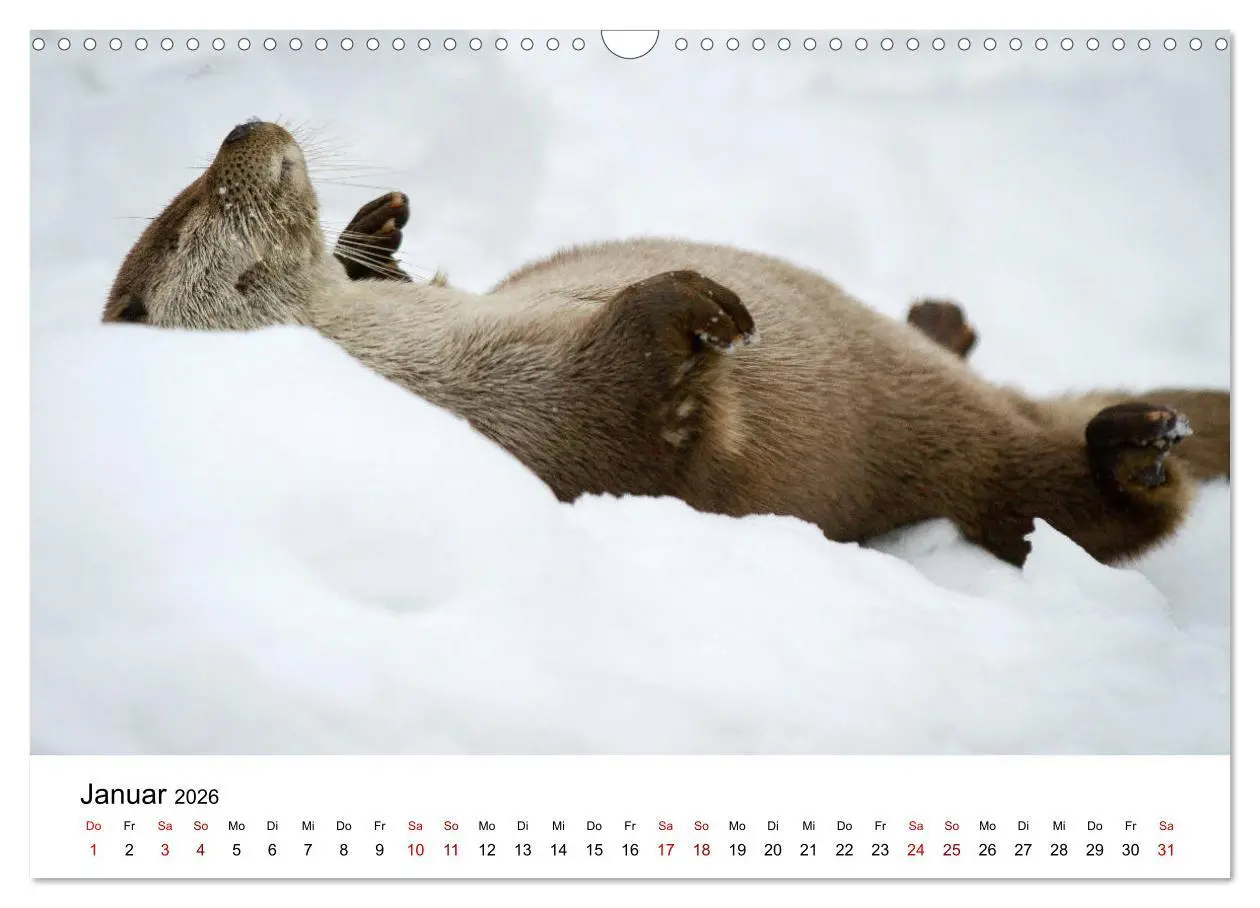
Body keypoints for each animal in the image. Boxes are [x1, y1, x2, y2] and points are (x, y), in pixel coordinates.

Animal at [103, 119, 1229, 566]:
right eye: (186, 212)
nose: (242, 125)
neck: (416, 359)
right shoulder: (552, 431)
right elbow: (644, 405)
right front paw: (701, 306)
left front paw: (379, 228)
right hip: (976, 471)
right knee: (1078, 502)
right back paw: (1137, 447)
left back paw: (943, 320)